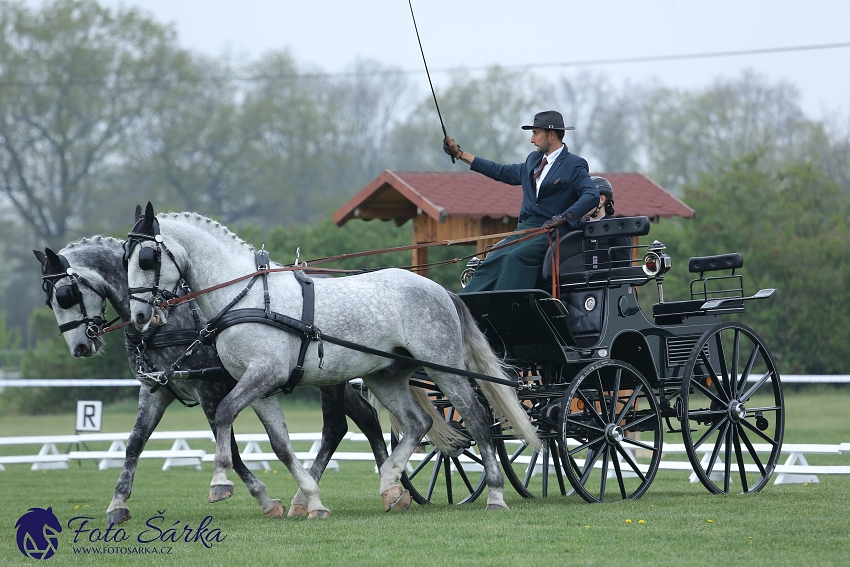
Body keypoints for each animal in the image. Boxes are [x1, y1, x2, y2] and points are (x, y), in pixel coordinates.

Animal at [35, 236, 388, 524]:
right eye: (50, 300)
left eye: (65, 295)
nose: (80, 347)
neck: (166, 322)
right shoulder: (156, 390)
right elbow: (135, 442)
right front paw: (117, 504)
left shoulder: (209, 389)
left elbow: (229, 445)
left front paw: (260, 498)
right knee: (365, 418)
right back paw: (389, 483)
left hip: (329, 378)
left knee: (335, 428)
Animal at [126, 204, 536, 516]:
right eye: (125, 257)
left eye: (146, 258)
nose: (139, 317)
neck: (247, 296)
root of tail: (440, 290)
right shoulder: (262, 388)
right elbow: (280, 444)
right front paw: (312, 500)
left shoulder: (263, 375)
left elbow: (225, 413)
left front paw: (220, 482)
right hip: (385, 377)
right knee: (417, 423)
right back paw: (390, 485)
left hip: (443, 368)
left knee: (477, 419)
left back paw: (495, 494)